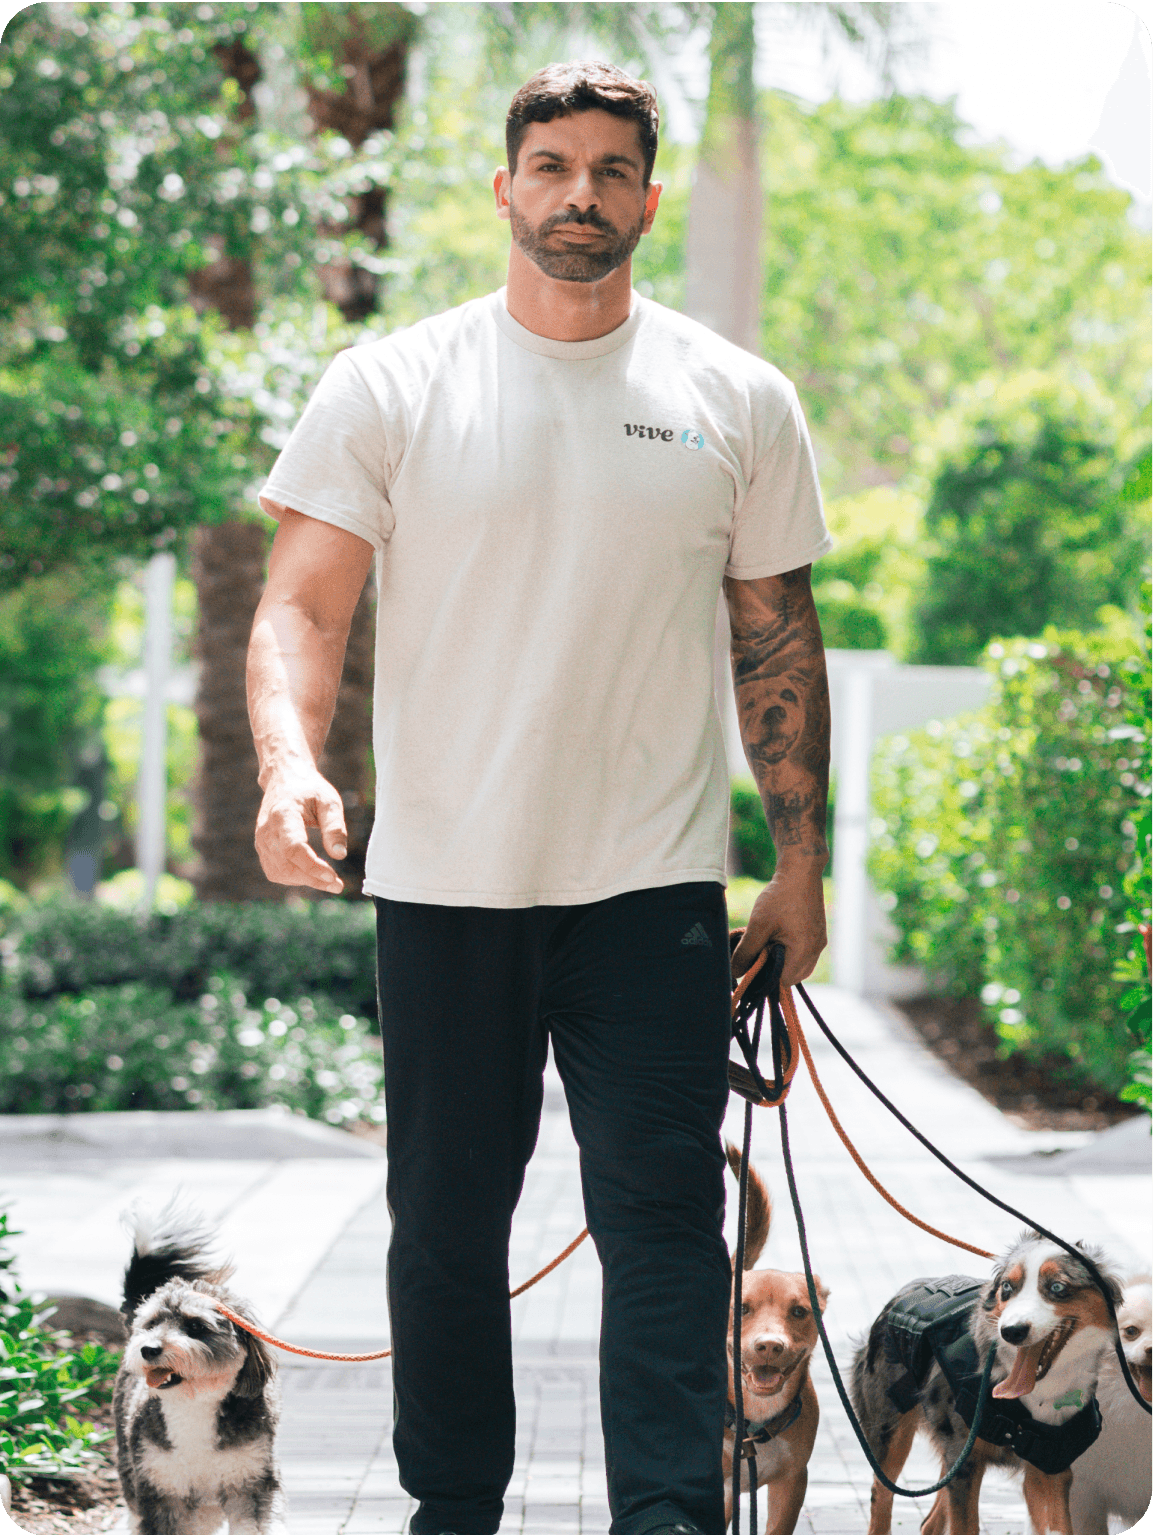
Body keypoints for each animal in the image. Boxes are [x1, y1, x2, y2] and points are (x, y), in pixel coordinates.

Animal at [114, 1203, 284, 1535]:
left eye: (195, 1327)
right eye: (152, 1324)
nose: (148, 1349)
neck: (194, 1404)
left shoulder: (249, 1483)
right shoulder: (159, 1487)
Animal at [850, 1230, 1123, 1535]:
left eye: (1057, 1287)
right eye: (1007, 1287)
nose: (1011, 1332)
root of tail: (904, 1291)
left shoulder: (1048, 1466)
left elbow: (1059, 1526)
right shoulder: (967, 1461)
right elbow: (965, 1526)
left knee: (930, 1521)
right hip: (890, 1430)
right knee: (882, 1493)